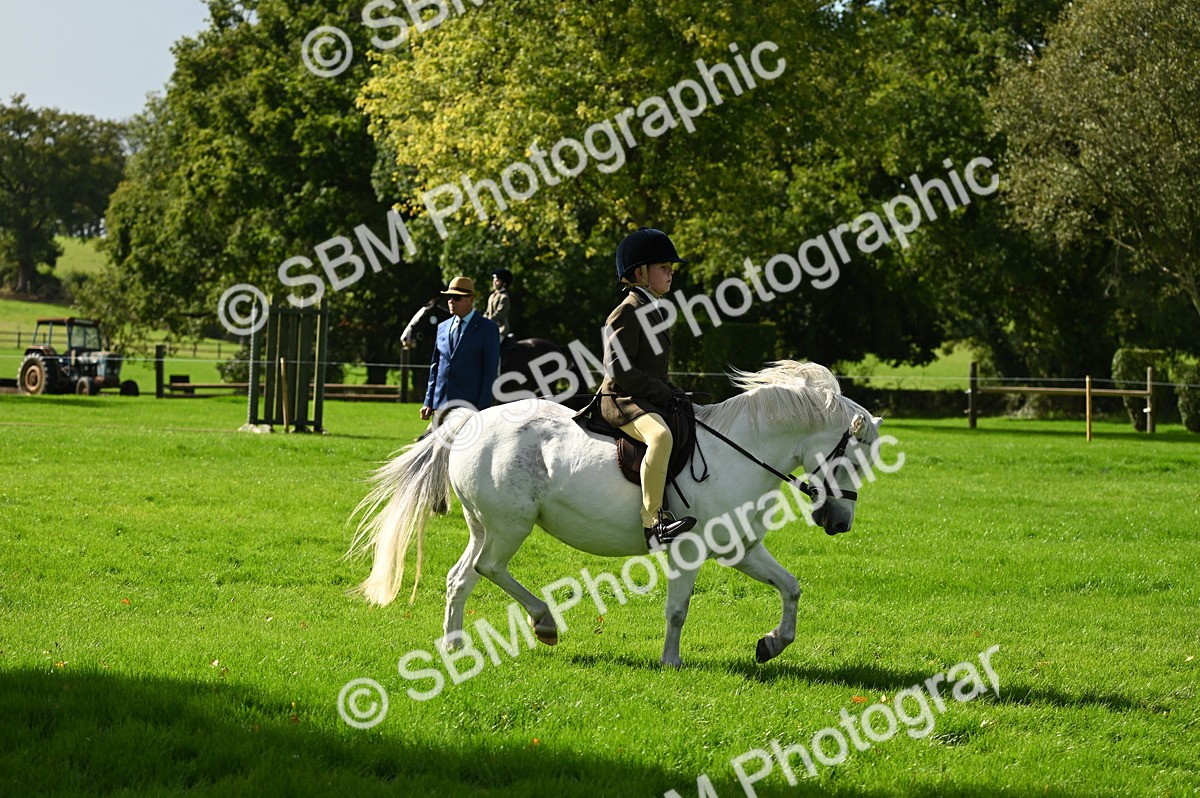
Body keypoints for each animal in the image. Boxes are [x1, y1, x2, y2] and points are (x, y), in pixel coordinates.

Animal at [348, 361, 883, 667]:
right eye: (853, 461)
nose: (840, 524)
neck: (742, 452)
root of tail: (470, 422)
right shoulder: (688, 551)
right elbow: (677, 610)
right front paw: (671, 662)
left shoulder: (741, 549)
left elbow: (791, 588)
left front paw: (771, 644)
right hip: (509, 525)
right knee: (489, 568)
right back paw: (543, 623)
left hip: (485, 525)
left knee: (461, 577)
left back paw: (456, 646)